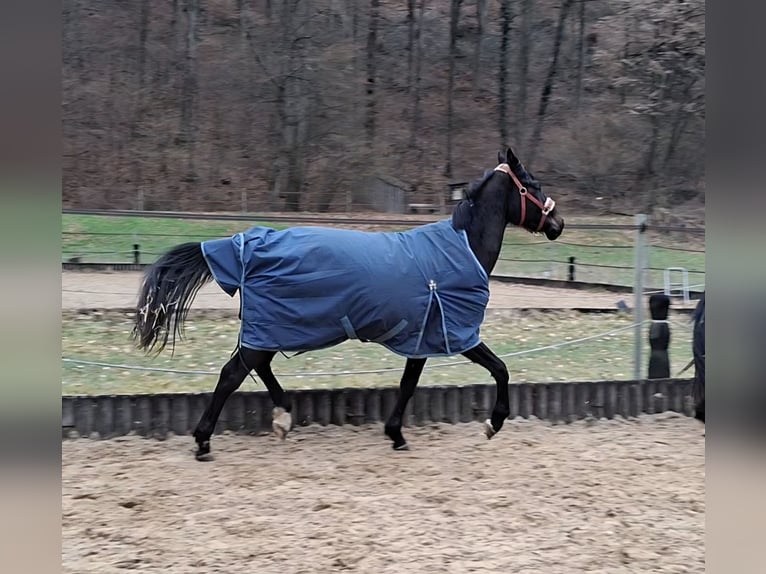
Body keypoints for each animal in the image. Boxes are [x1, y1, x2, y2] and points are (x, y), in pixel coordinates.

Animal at [132, 147, 565, 460]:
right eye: (534, 184)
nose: (558, 225)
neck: (460, 250)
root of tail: (244, 244)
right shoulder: (457, 333)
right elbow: (500, 369)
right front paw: (493, 423)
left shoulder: (420, 339)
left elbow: (408, 385)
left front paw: (396, 435)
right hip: (270, 328)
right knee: (231, 374)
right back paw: (204, 442)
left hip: (271, 330)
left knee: (257, 368)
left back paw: (283, 417)